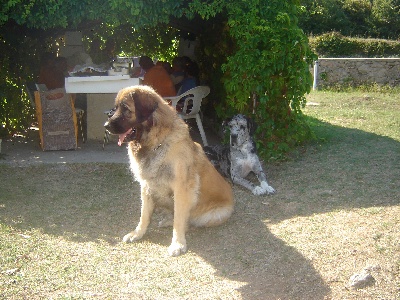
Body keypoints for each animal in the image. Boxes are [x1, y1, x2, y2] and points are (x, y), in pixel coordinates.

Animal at [104, 84, 234, 255]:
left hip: (211, 214)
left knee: (188, 220)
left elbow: (179, 219)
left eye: (126, 109)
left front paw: (177, 244)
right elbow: (144, 215)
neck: (155, 144)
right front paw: (137, 233)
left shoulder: (181, 189)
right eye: (115, 108)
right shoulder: (146, 186)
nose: (105, 126)